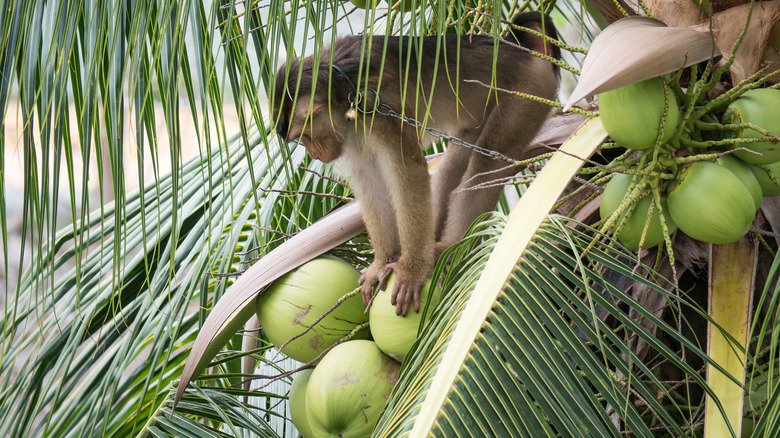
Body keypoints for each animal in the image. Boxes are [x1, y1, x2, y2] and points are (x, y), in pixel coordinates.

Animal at [272, 11, 560, 316]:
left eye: (303, 137)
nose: (314, 154)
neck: (340, 87)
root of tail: (521, 51)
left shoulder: (377, 110)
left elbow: (408, 176)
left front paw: (411, 271)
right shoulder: (351, 131)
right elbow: (369, 182)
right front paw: (383, 262)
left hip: (528, 93)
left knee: (488, 160)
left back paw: (452, 246)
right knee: (455, 163)